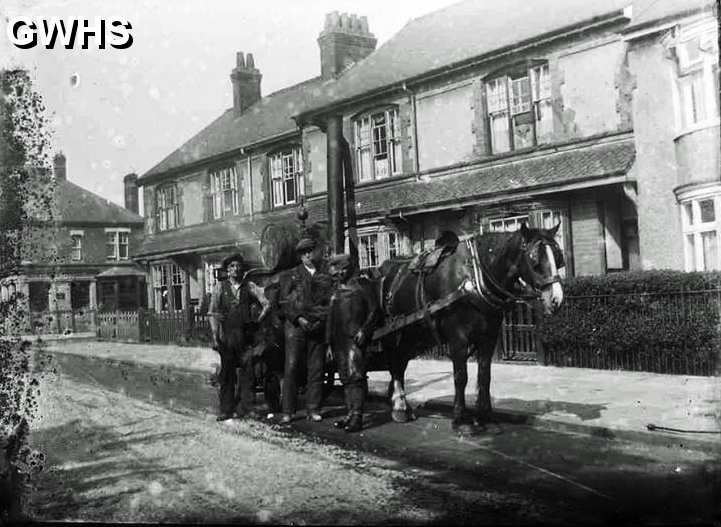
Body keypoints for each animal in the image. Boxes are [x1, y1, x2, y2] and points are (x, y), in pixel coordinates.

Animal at [376, 225, 564, 436]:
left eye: (558, 257)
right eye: (535, 260)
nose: (556, 299)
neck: (472, 278)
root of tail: (386, 270)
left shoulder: (489, 338)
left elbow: (484, 376)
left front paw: (486, 417)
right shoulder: (458, 338)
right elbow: (461, 377)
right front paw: (461, 419)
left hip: (413, 335)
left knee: (400, 363)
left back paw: (398, 402)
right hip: (394, 333)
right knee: (395, 363)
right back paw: (400, 407)